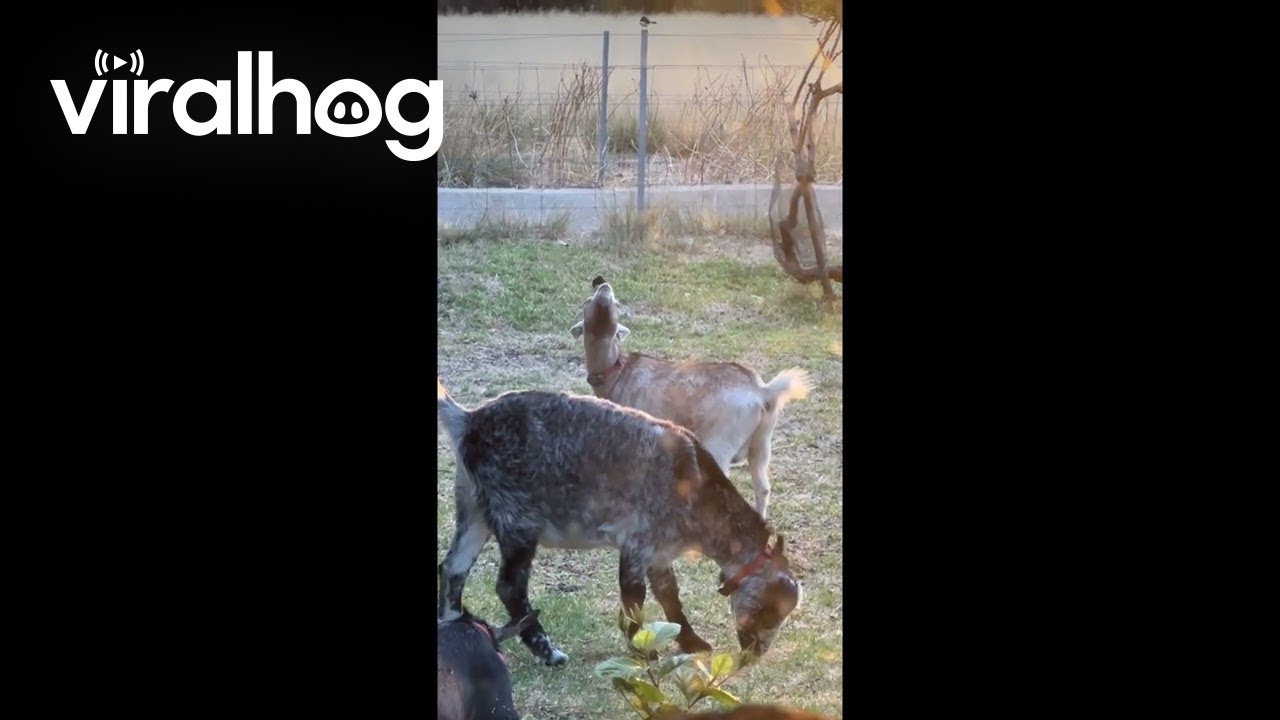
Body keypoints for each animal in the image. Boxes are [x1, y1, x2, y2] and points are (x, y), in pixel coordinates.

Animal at [437, 379, 801, 667]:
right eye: (769, 609)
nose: (756, 653)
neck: (693, 483)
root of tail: (468, 420)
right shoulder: (637, 540)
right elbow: (634, 597)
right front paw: (643, 651)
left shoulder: (660, 551)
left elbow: (669, 595)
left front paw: (692, 642)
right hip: (517, 518)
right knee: (510, 587)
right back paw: (548, 652)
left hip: (474, 508)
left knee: (453, 567)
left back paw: (455, 624)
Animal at [569, 279, 813, 518]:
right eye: (588, 302)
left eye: (616, 304)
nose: (602, 285)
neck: (618, 372)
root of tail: (762, 391)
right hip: (761, 445)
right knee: (763, 488)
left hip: (720, 444)